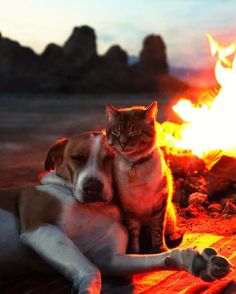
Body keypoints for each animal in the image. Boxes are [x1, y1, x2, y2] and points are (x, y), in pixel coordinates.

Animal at [0, 132, 231, 292]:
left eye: (111, 158)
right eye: (77, 157)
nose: (92, 187)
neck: (95, 208)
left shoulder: (110, 259)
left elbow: (155, 257)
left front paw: (196, 262)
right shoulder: (41, 228)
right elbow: (91, 270)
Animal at [105, 101, 183, 253]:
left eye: (134, 132)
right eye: (116, 132)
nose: (122, 144)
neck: (135, 164)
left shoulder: (160, 205)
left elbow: (157, 230)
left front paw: (160, 249)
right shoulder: (129, 210)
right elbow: (133, 233)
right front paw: (134, 252)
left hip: (170, 215)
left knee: (170, 230)